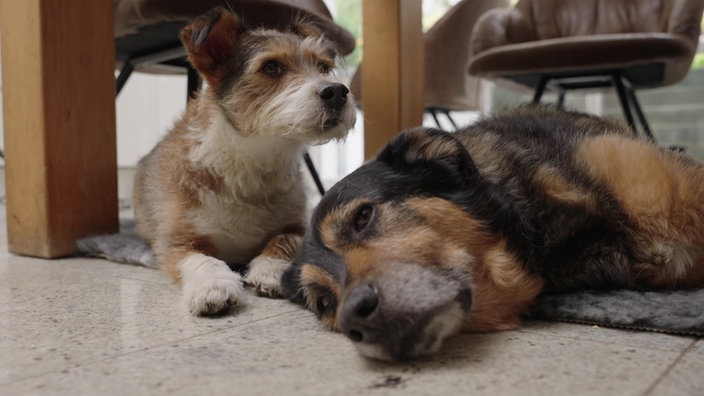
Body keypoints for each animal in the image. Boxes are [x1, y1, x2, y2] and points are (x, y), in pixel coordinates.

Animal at [134, 6, 358, 316]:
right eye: (271, 67)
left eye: (323, 67)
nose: (337, 91)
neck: (251, 159)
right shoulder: (175, 242)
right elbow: (200, 259)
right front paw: (212, 286)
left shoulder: (299, 226)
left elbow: (284, 239)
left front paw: (270, 271)